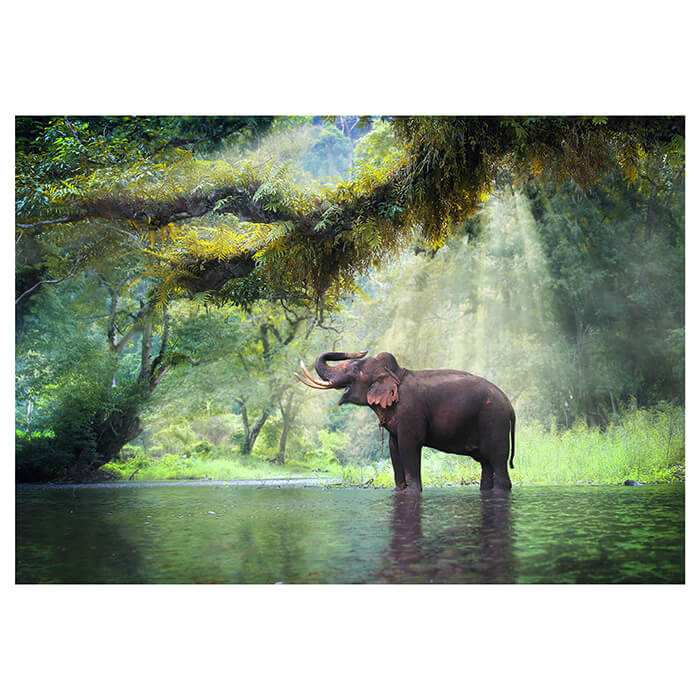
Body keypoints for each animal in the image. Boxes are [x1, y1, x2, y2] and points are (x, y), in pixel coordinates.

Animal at [295, 350, 516, 492]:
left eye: (356, 369)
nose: (360, 351)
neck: (396, 374)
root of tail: (510, 406)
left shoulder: (411, 412)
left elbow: (410, 445)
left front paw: (412, 491)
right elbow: (394, 447)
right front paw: (399, 490)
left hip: (494, 421)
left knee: (497, 461)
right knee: (486, 464)